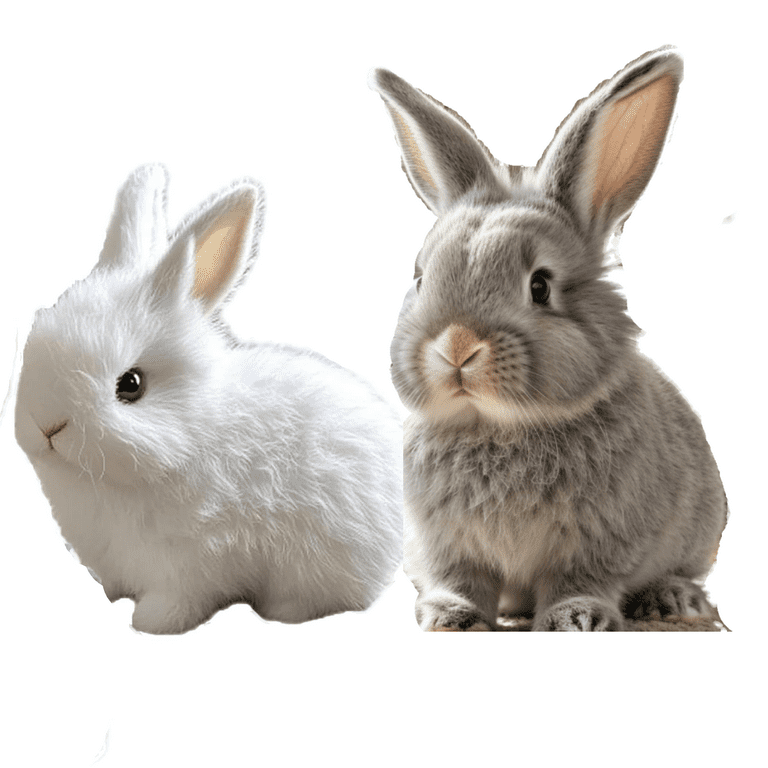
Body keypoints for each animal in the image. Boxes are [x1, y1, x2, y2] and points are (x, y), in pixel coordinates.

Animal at [369, 46, 727, 631]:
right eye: (421, 278)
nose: (457, 346)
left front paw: (575, 619)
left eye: (540, 286)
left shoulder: (596, 542)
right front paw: (450, 618)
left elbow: (579, 581)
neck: (499, 428)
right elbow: (458, 580)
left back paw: (671, 599)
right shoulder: (446, 545)